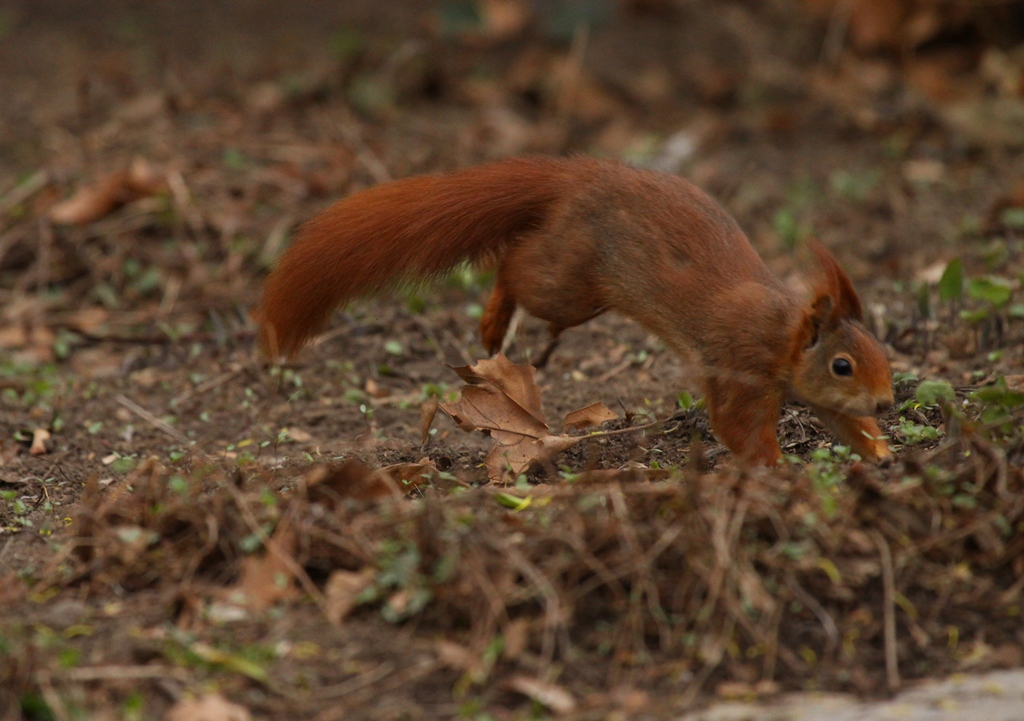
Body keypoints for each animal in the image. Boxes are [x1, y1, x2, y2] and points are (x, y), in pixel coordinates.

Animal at [258, 154, 897, 464]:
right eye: (842, 364)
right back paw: (494, 321)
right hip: (570, 282)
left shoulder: (816, 396)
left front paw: (878, 447)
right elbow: (738, 429)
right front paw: (777, 472)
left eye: (881, 354)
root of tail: (584, 175)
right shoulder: (736, 366)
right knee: (515, 266)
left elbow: (843, 423)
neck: (782, 332)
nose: (889, 402)